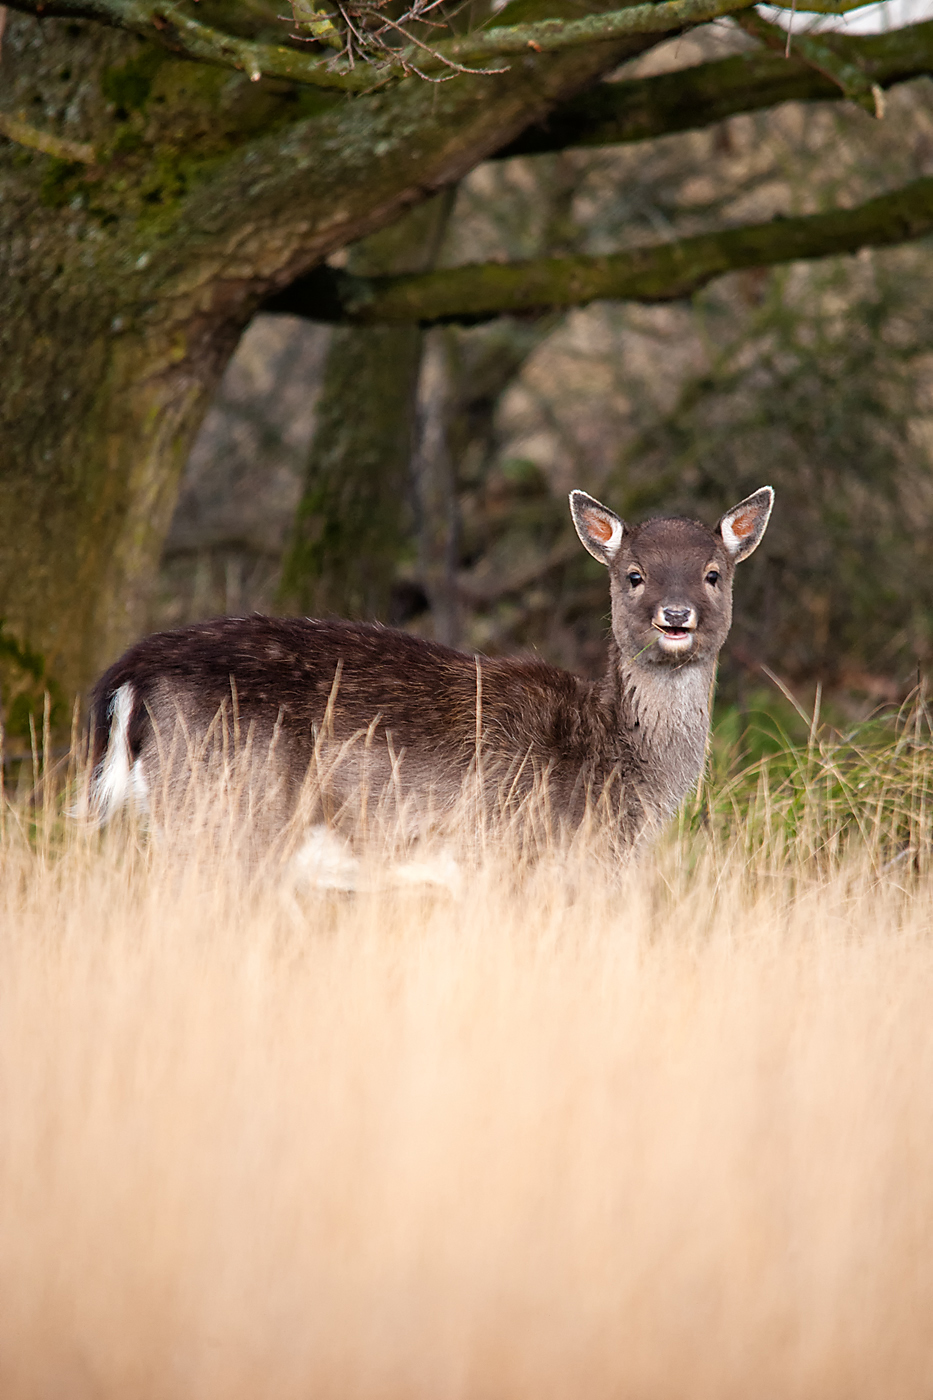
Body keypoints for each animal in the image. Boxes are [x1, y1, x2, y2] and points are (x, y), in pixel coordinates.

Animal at [86, 486, 773, 881]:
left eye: (714, 573)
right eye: (633, 574)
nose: (676, 616)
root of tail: (128, 677)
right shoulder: (523, 855)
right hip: (222, 810)